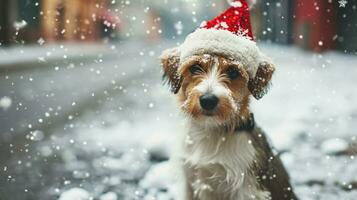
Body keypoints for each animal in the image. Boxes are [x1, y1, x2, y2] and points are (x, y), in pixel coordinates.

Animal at [160, 43, 296, 198]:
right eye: (195, 68)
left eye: (232, 71)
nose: (208, 100)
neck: (211, 131)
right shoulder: (189, 181)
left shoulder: (246, 187)